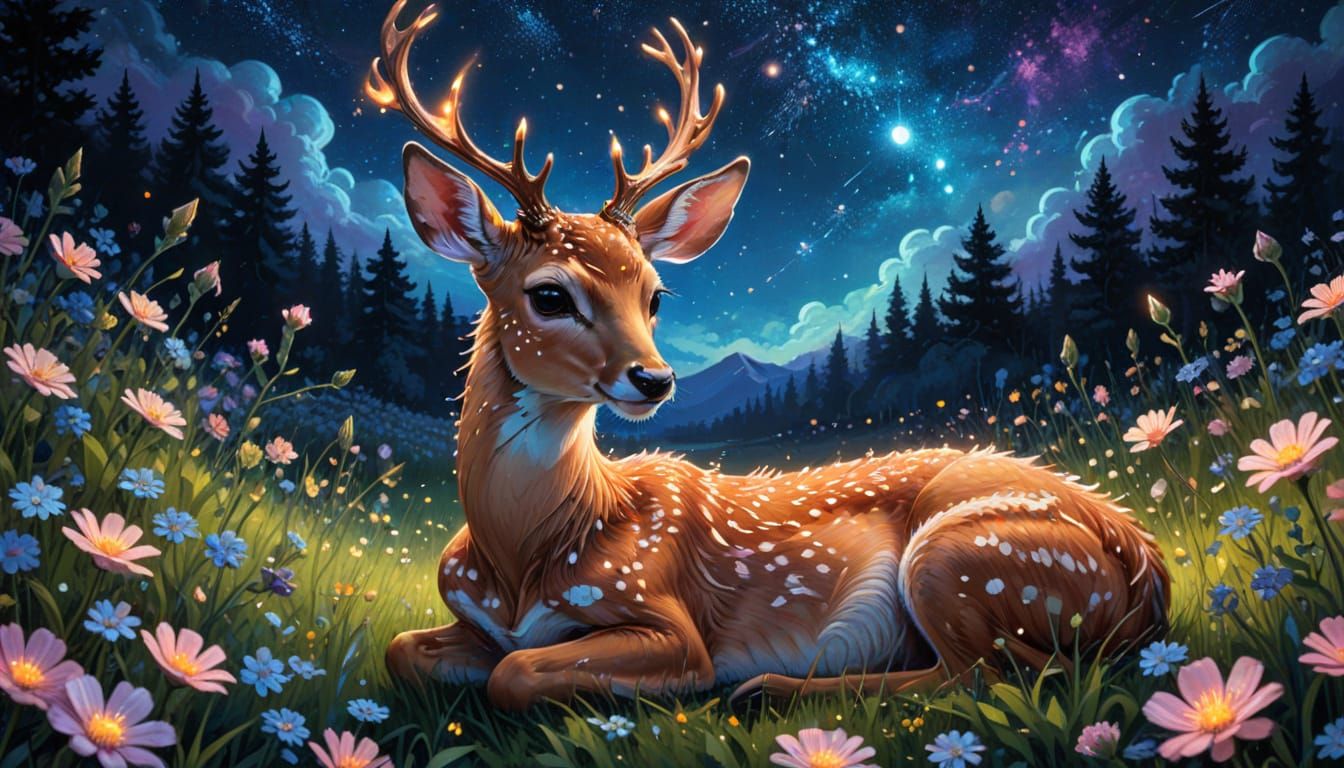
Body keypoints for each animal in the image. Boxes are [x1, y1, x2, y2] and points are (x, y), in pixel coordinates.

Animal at [371, 0, 1170, 712]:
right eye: (549, 295)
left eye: (655, 295)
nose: (654, 379)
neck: (525, 554)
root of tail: (1146, 570)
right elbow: (403, 650)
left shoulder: (668, 621)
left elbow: (515, 675)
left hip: (966, 558)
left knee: (994, 674)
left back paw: (769, 687)